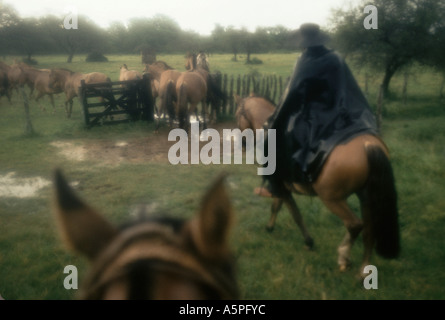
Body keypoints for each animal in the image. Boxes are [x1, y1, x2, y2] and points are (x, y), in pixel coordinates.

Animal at [250, 99, 398, 276]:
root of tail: (367, 145)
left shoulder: (281, 187)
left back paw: (344, 258)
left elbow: (295, 214)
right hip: (366, 197)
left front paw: (308, 242)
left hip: (332, 199)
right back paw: (363, 271)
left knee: (354, 224)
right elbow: (277, 207)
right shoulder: (283, 188)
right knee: (369, 231)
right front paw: (270, 227)